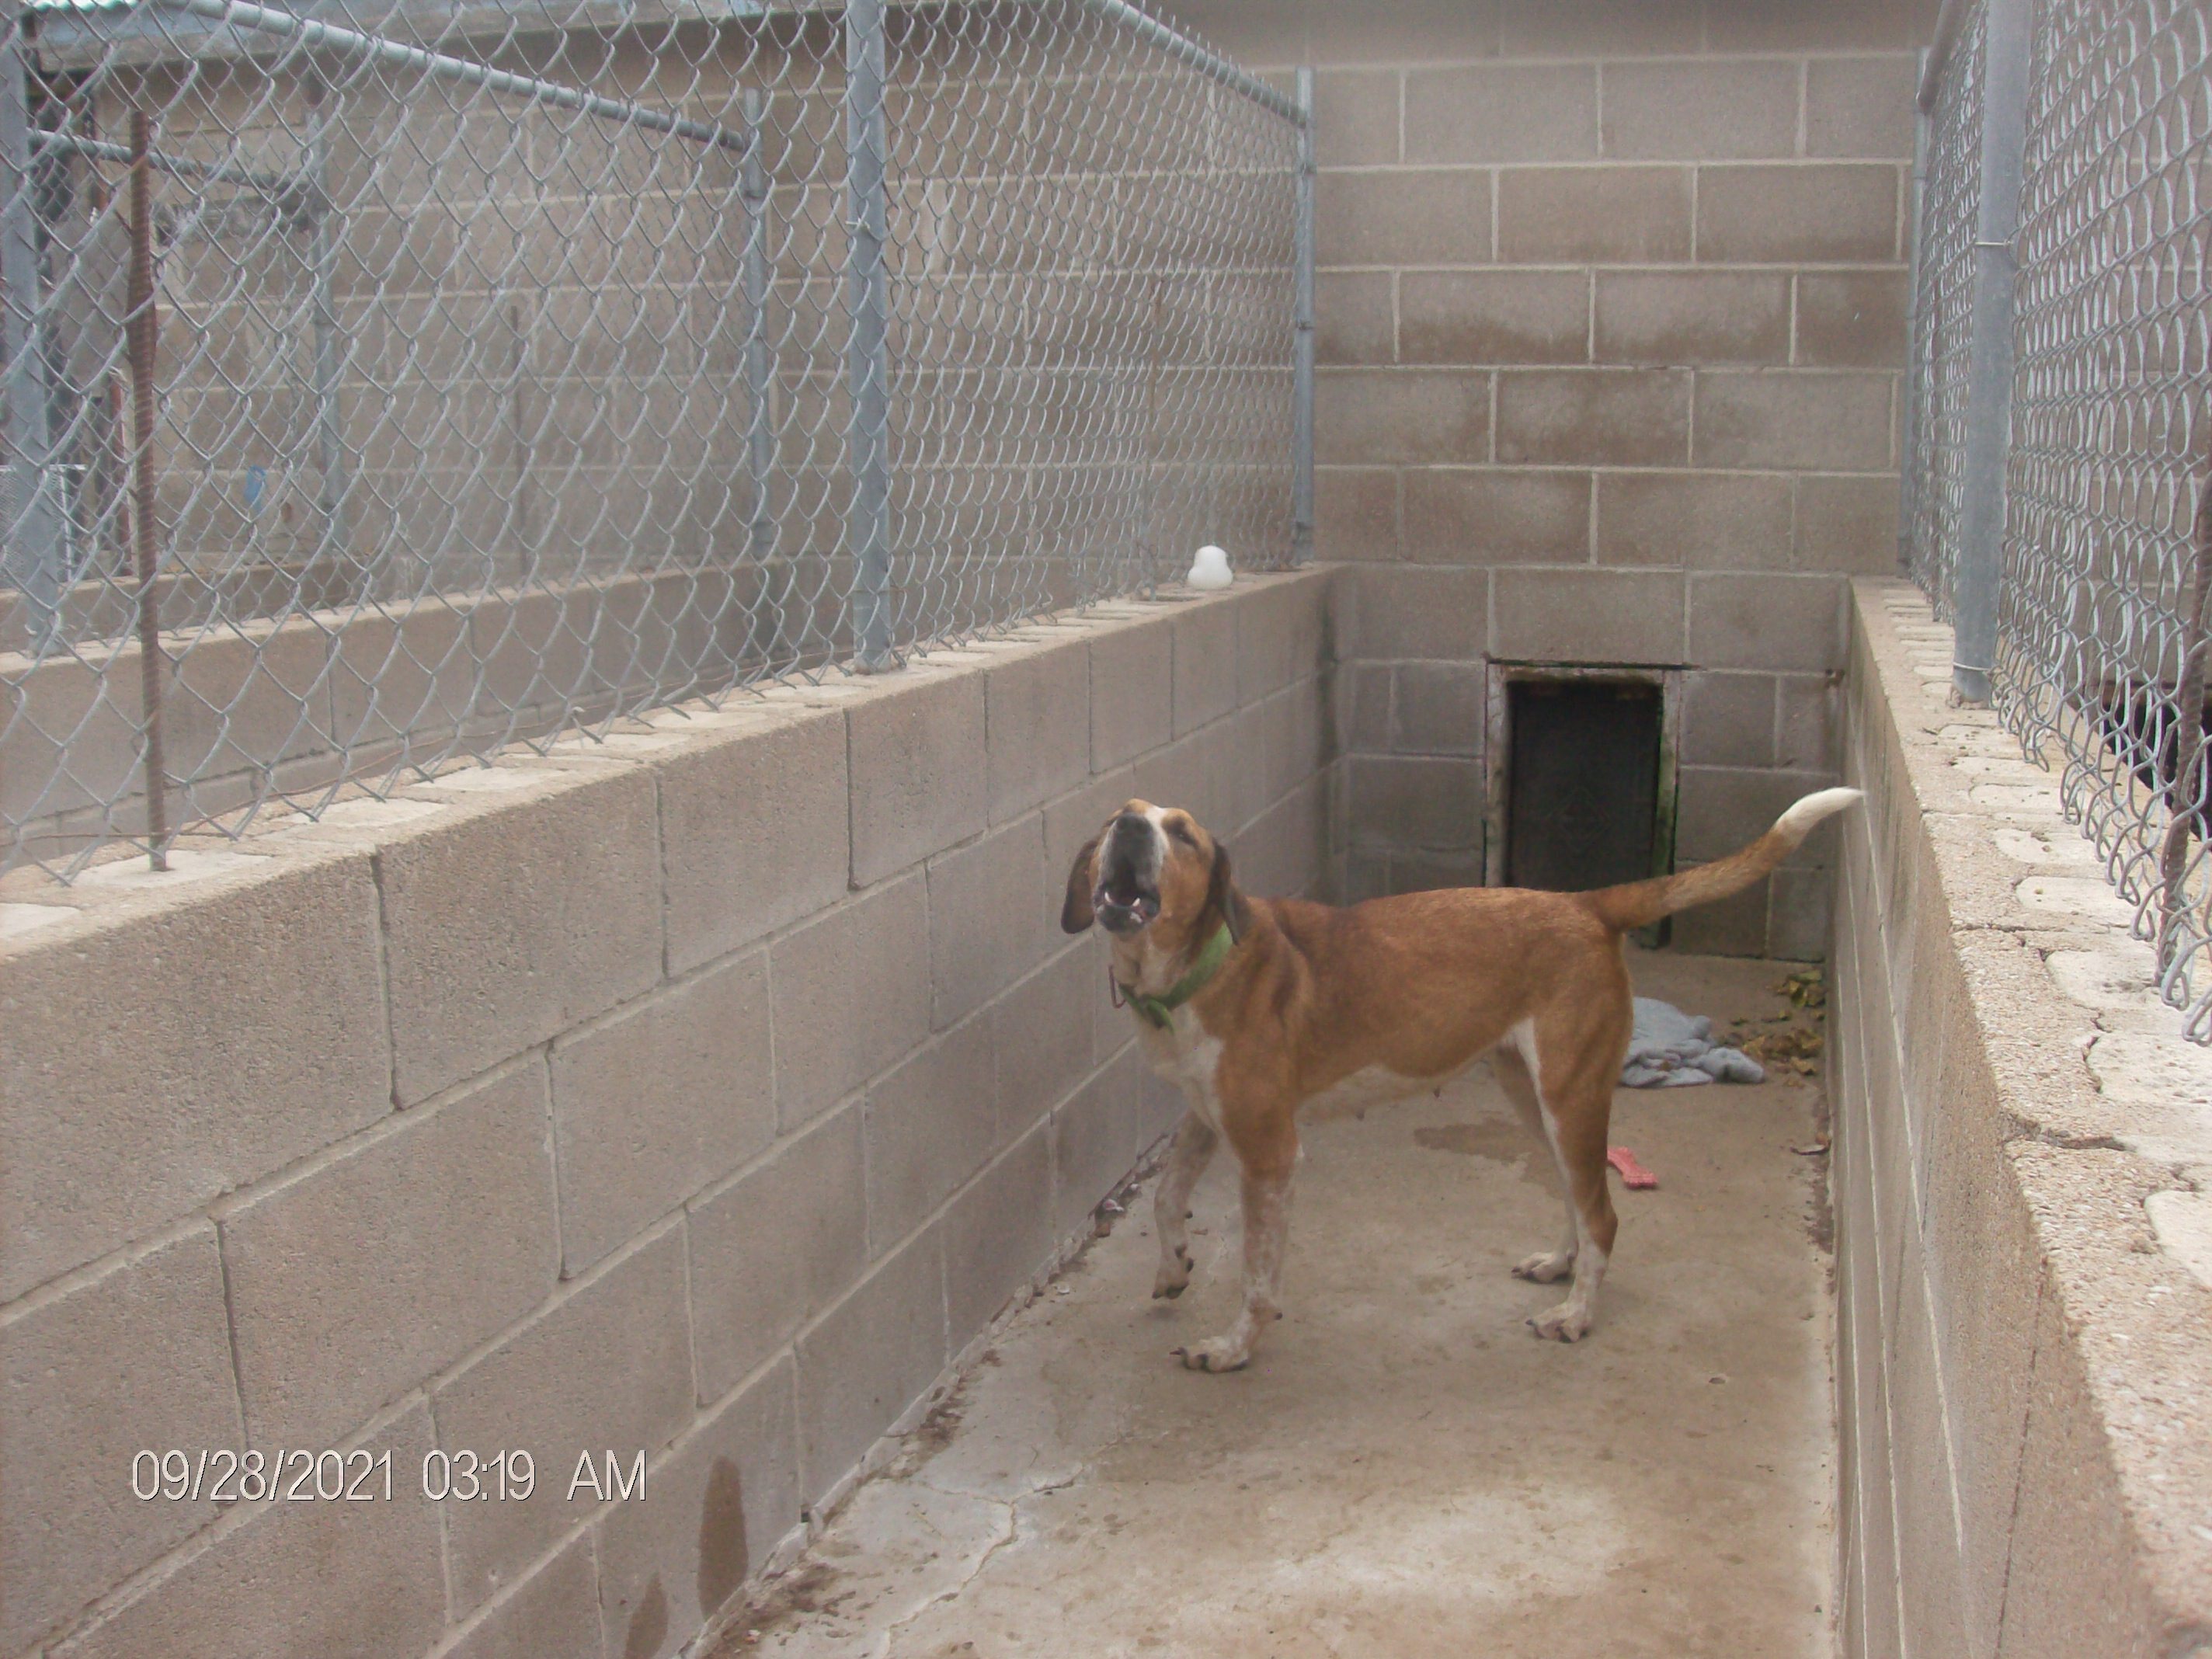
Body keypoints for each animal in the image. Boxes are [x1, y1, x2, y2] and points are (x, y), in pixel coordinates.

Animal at [1062, 791, 1858, 1380]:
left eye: (1183, 835)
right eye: (1117, 816)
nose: (1130, 827)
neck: (1202, 964)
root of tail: (1587, 903)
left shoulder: (1268, 1151)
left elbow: (1258, 1278)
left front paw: (1232, 1350)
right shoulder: (1206, 1113)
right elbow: (1166, 1198)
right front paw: (1173, 1267)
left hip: (1568, 1095)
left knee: (1603, 1215)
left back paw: (1576, 1317)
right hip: (1532, 1095)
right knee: (1579, 1195)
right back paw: (1560, 1266)